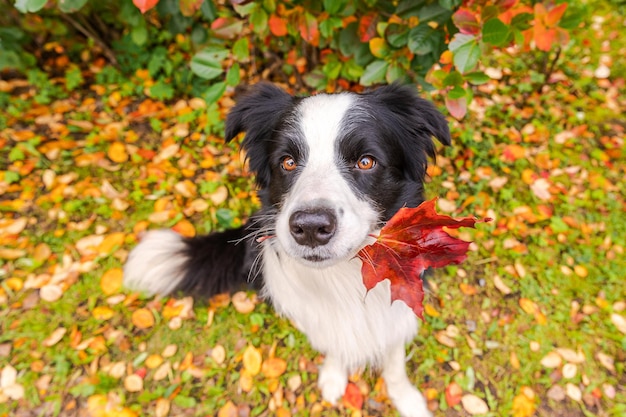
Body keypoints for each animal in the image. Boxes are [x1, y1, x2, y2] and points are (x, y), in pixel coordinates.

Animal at [124, 83, 450, 414]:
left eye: (366, 161)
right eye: (288, 162)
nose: (310, 227)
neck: (349, 277)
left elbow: (394, 360)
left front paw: (406, 399)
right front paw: (334, 377)